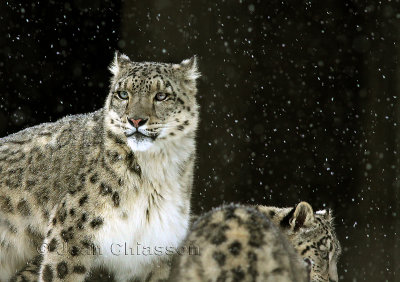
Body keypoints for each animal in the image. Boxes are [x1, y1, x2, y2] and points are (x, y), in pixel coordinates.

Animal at [0, 51, 200, 280]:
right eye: (123, 94)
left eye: (161, 96)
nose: (136, 120)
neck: (155, 171)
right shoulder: (70, 232)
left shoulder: (152, 254)